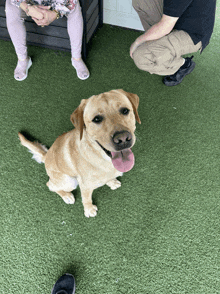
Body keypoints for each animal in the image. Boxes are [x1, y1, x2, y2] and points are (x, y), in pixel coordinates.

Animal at [17, 88, 141, 217]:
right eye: (97, 119)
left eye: (125, 110)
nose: (123, 139)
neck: (102, 159)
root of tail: (46, 156)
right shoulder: (84, 185)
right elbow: (86, 198)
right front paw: (89, 210)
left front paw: (111, 182)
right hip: (69, 181)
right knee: (50, 185)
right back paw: (66, 196)